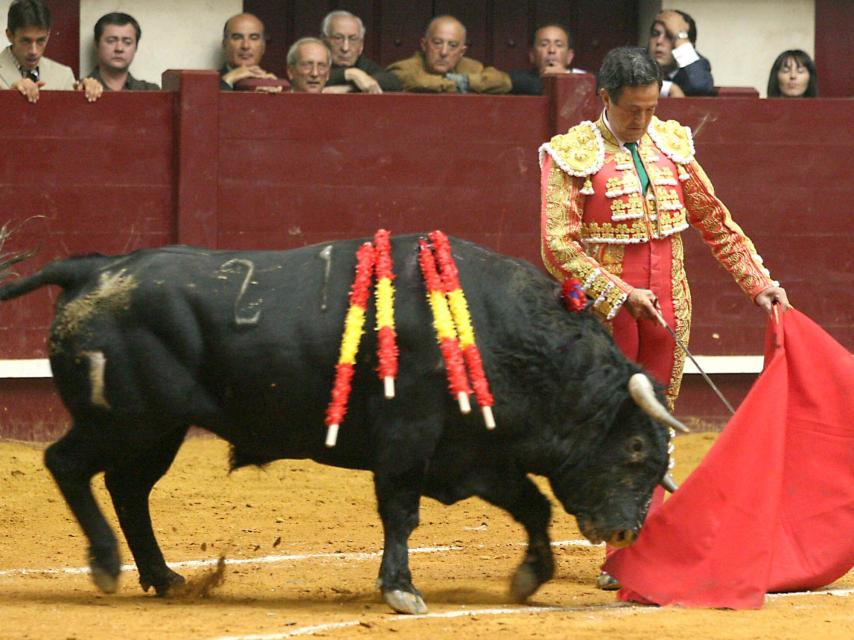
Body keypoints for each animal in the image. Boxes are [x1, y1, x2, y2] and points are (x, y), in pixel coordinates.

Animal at [0, 235, 684, 616]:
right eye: (632, 449)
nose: (625, 532)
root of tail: (92, 269)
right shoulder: (408, 442)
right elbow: (401, 514)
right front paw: (401, 590)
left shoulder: (474, 454)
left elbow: (532, 505)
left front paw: (527, 577)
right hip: (125, 420)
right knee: (68, 465)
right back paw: (107, 564)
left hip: (157, 430)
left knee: (127, 488)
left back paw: (164, 578)